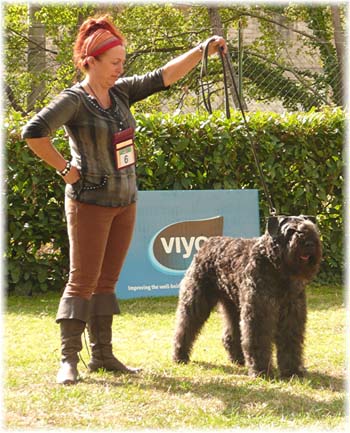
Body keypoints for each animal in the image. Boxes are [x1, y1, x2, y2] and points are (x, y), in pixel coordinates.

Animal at [172, 214, 322, 376]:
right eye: (290, 231)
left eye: (312, 228)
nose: (309, 243)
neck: (276, 268)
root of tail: (207, 243)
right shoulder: (259, 311)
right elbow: (258, 339)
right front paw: (261, 370)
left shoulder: (291, 313)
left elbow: (290, 341)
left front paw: (292, 371)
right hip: (196, 300)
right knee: (184, 327)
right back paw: (180, 356)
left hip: (233, 305)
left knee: (231, 333)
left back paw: (238, 358)